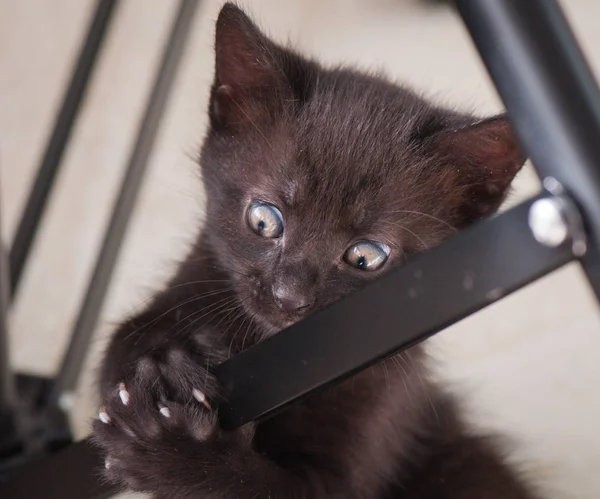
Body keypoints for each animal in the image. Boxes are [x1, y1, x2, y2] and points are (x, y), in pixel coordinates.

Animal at [92, 4, 536, 499]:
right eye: (264, 220)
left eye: (366, 257)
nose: (288, 296)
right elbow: (123, 340)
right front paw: (161, 371)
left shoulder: (381, 418)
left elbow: (265, 486)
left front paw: (173, 446)